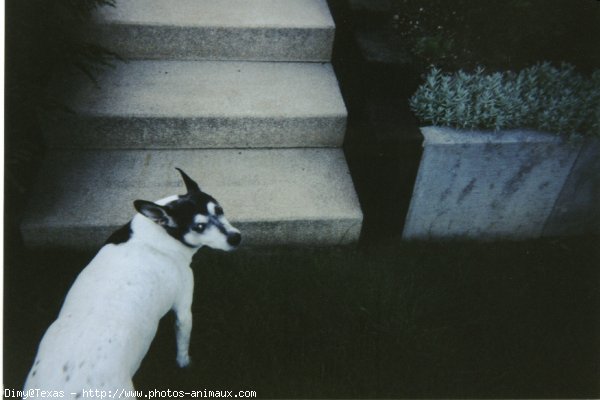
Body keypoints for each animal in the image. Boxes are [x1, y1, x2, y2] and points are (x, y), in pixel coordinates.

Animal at [24, 168, 239, 396]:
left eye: (220, 209)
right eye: (199, 226)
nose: (236, 238)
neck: (159, 233)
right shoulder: (183, 310)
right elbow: (182, 347)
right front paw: (185, 364)